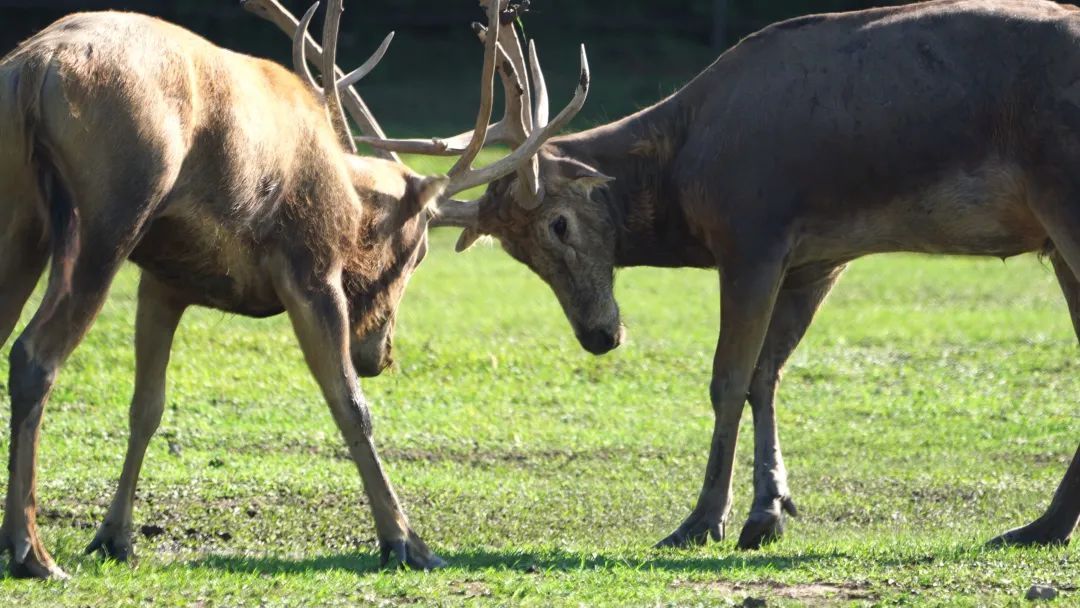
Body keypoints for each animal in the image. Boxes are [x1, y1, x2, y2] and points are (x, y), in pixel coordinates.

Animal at [0, 0, 591, 578]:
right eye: (419, 251)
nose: (381, 354)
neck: (347, 202)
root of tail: (33, 68)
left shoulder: (164, 279)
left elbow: (147, 406)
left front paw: (115, 537)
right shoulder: (310, 265)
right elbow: (350, 405)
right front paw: (405, 541)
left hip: (24, 220)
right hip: (110, 213)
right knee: (34, 354)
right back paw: (31, 551)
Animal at [371, 0, 1080, 552]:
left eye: (560, 224)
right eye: (517, 255)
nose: (600, 337)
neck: (685, 171)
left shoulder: (754, 232)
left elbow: (728, 380)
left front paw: (702, 520)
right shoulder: (817, 260)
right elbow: (767, 375)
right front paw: (769, 512)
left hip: (1063, 196)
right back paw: (1042, 527)